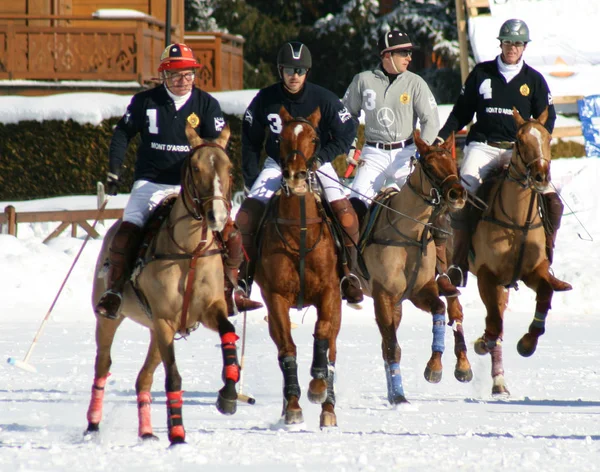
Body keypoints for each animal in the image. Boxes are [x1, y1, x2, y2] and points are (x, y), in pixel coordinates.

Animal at [86, 122, 241, 446]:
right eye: (195, 168)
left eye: (229, 168)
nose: (218, 217)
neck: (191, 250)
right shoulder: (166, 320)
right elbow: (174, 376)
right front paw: (178, 434)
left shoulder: (209, 310)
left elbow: (228, 331)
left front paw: (229, 394)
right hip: (113, 319)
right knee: (102, 366)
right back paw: (92, 425)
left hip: (154, 332)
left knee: (143, 378)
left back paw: (146, 432)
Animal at [255, 106, 342, 428]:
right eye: (280, 137)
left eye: (314, 139)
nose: (295, 176)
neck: (300, 228)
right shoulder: (275, 297)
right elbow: (287, 348)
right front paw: (292, 406)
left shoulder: (330, 291)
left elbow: (323, 333)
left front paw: (317, 387)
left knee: (332, 348)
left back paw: (328, 407)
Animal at [358, 131, 472, 404]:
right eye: (429, 166)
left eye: (454, 165)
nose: (457, 194)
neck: (408, 233)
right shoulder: (383, 295)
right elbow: (392, 347)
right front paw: (399, 397)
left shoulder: (420, 290)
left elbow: (440, 308)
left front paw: (434, 367)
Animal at [446, 107, 556, 394]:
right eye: (519, 141)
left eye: (548, 138)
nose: (541, 177)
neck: (517, 223)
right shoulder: (487, 275)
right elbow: (494, 324)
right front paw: (482, 342)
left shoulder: (534, 270)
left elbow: (546, 292)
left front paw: (527, 342)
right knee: (456, 310)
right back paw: (463, 366)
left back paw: (499, 381)